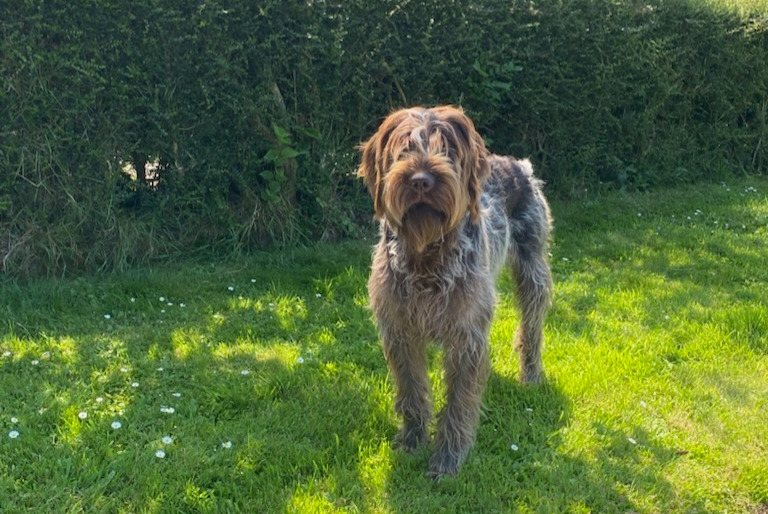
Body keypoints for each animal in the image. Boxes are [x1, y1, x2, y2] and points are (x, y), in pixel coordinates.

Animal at [358, 104, 552, 476]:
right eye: (404, 149)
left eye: (447, 149)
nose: (421, 180)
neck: (426, 258)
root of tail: (519, 165)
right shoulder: (400, 330)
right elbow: (412, 391)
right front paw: (413, 440)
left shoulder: (465, 334)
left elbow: (459, 402)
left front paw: (448, 457)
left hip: (532, 270)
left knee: (532, 327)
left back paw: (532, 375)